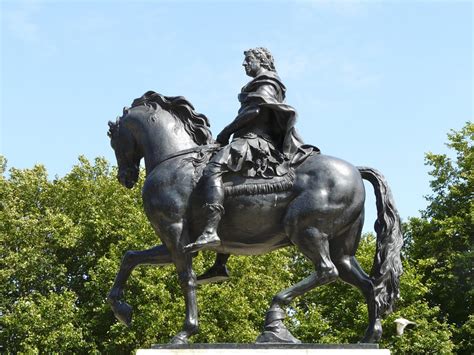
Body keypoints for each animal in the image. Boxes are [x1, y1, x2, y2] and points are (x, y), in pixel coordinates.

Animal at [105, 91, 402, 344]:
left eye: (114, 139)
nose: (125, 177)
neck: (176, 160)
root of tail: (355, 171)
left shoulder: (174, 232)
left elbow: (185, 278)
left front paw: (184, 332)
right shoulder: (174, 241)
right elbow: (130, 257)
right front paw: (121, 309)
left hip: (304, 229)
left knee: (327, 270)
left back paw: (275, 315)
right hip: (343, 246)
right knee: (367, 284)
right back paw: (369, 337)